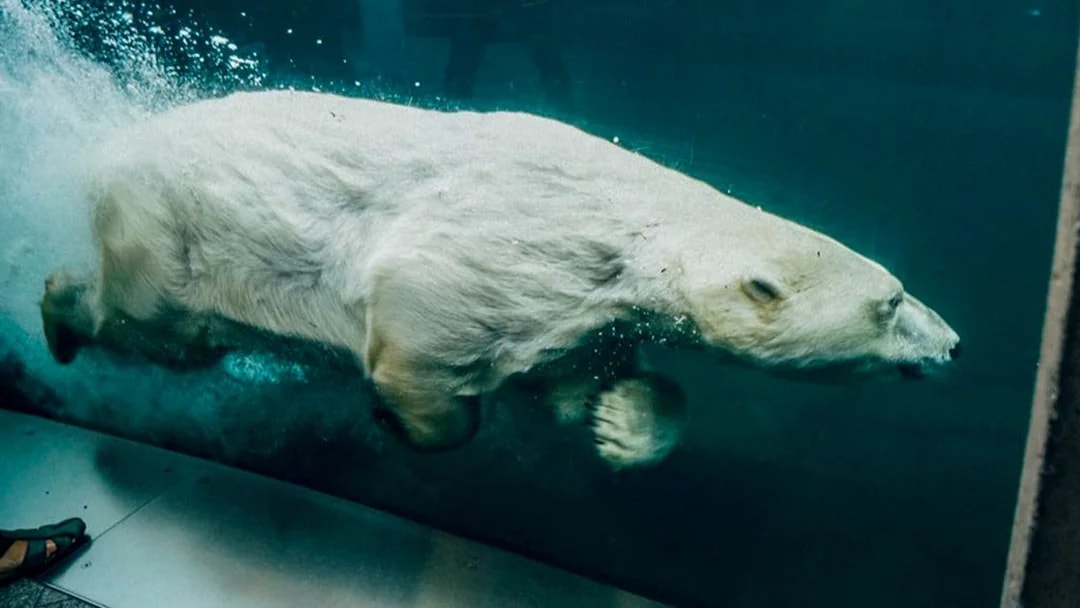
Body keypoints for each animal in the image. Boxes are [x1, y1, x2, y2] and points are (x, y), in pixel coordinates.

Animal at [39, 90, 962, 469]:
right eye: (892, 303)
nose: (954, 344)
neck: (631, 225)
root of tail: (106, 149)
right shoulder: (523, 245)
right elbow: (423, 317)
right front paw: (406, 419)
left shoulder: (587, 307)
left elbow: (573, 380)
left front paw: (624, 424)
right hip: (173, 228)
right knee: (154, 323)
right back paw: (57, 309)